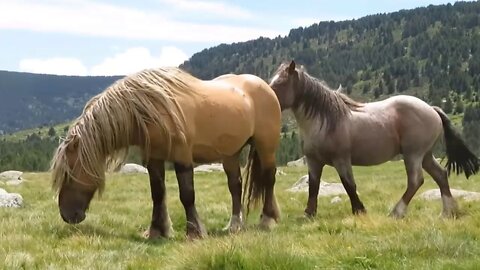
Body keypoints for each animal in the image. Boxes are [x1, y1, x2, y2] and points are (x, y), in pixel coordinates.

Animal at [49, 67, 282, 238]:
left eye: (69, 172)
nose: (66, 215)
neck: (150, 109)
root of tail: (265, 86)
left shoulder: (182, 157)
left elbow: (187, 195)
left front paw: (194, 232)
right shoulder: (154, 159)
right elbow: (158, 194)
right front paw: (157, 231)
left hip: (266, 146)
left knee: (269, 178)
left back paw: (268, 220)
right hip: (230, 154)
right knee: (235, 186)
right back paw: (234, 226)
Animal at [272, 61, 478, 219]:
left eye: (280, 83)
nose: (270, 101)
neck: (325, 120)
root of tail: (432, 109)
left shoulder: (341, 159)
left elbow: (349, 184)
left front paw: (359, 210)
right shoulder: (314, 161)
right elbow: (313, 187)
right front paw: (309, 213)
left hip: (413, 154)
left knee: (415, 181)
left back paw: (397, 212)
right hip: (425, 155)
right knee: (441, 175)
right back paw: (448, 212)